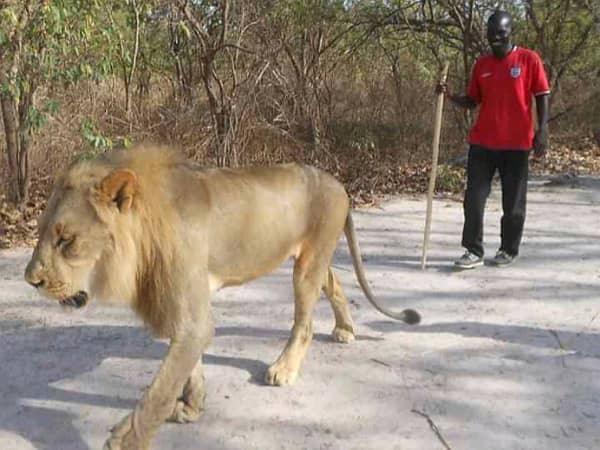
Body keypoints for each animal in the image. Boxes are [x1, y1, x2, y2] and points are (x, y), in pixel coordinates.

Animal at [25, 145, 420, 450]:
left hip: (307, 266)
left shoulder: (192, 315)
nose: (31, 280)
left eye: (66, 240)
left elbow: (159, 390)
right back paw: (345, 329)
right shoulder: (183, 310)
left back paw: (284, 369)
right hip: (312, 258)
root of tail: (340, 184)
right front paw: (191, 406)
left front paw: (127, 440)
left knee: (305, 323)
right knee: (334, 281)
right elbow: (187, 369)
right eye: (41, 232)